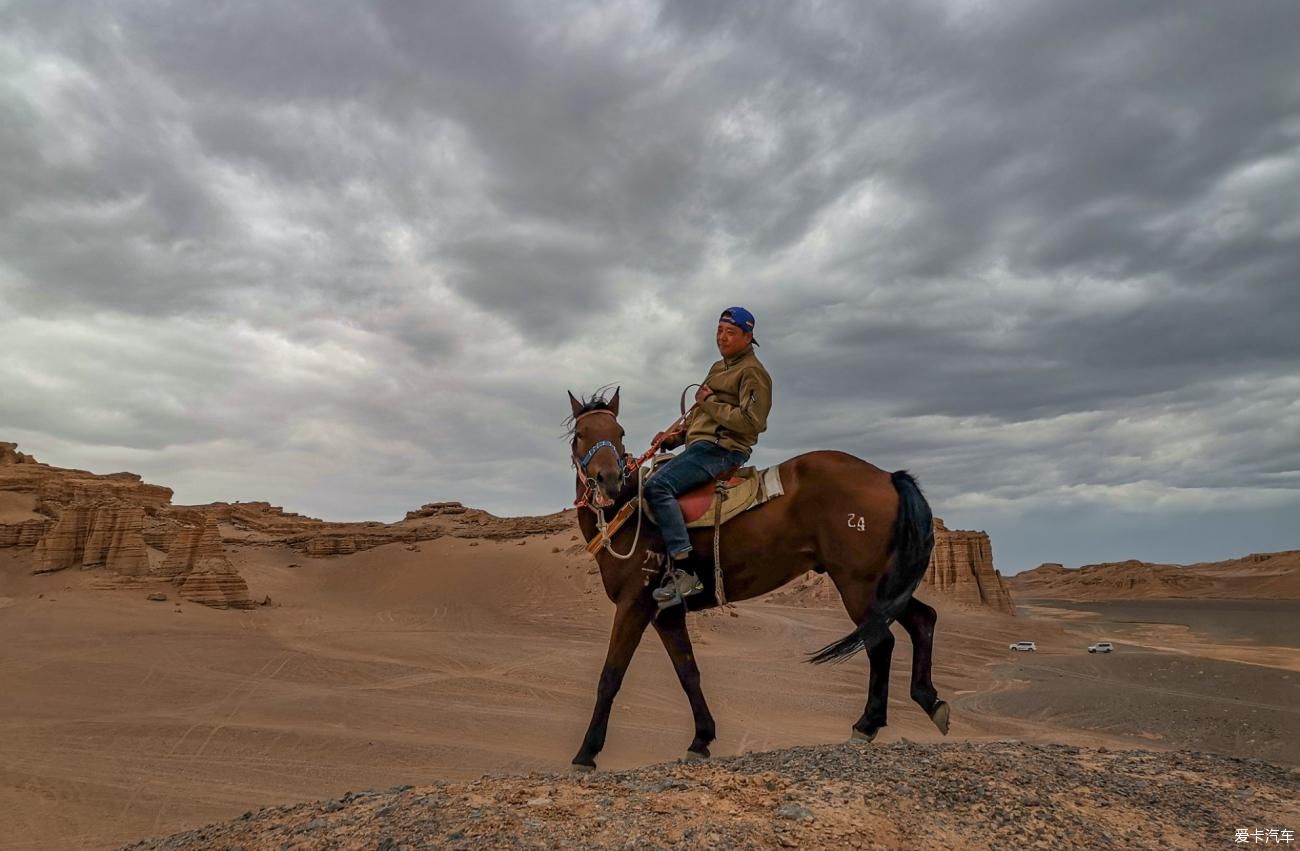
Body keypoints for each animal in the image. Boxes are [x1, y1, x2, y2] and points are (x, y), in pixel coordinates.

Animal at [564, 387, 951, 774]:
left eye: (620, 433)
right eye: (580, 435)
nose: (609, 480)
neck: (627, 513)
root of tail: (888, 476)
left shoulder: (635, 603)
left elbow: (610, 676)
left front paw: (586, 753)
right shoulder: (666, 613)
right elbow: (688, 672)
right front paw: (701, 739)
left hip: (858, 584)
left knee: (881, 642)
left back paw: (867, 724)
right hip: (882, 584)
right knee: (923, 619)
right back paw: (930, 702)